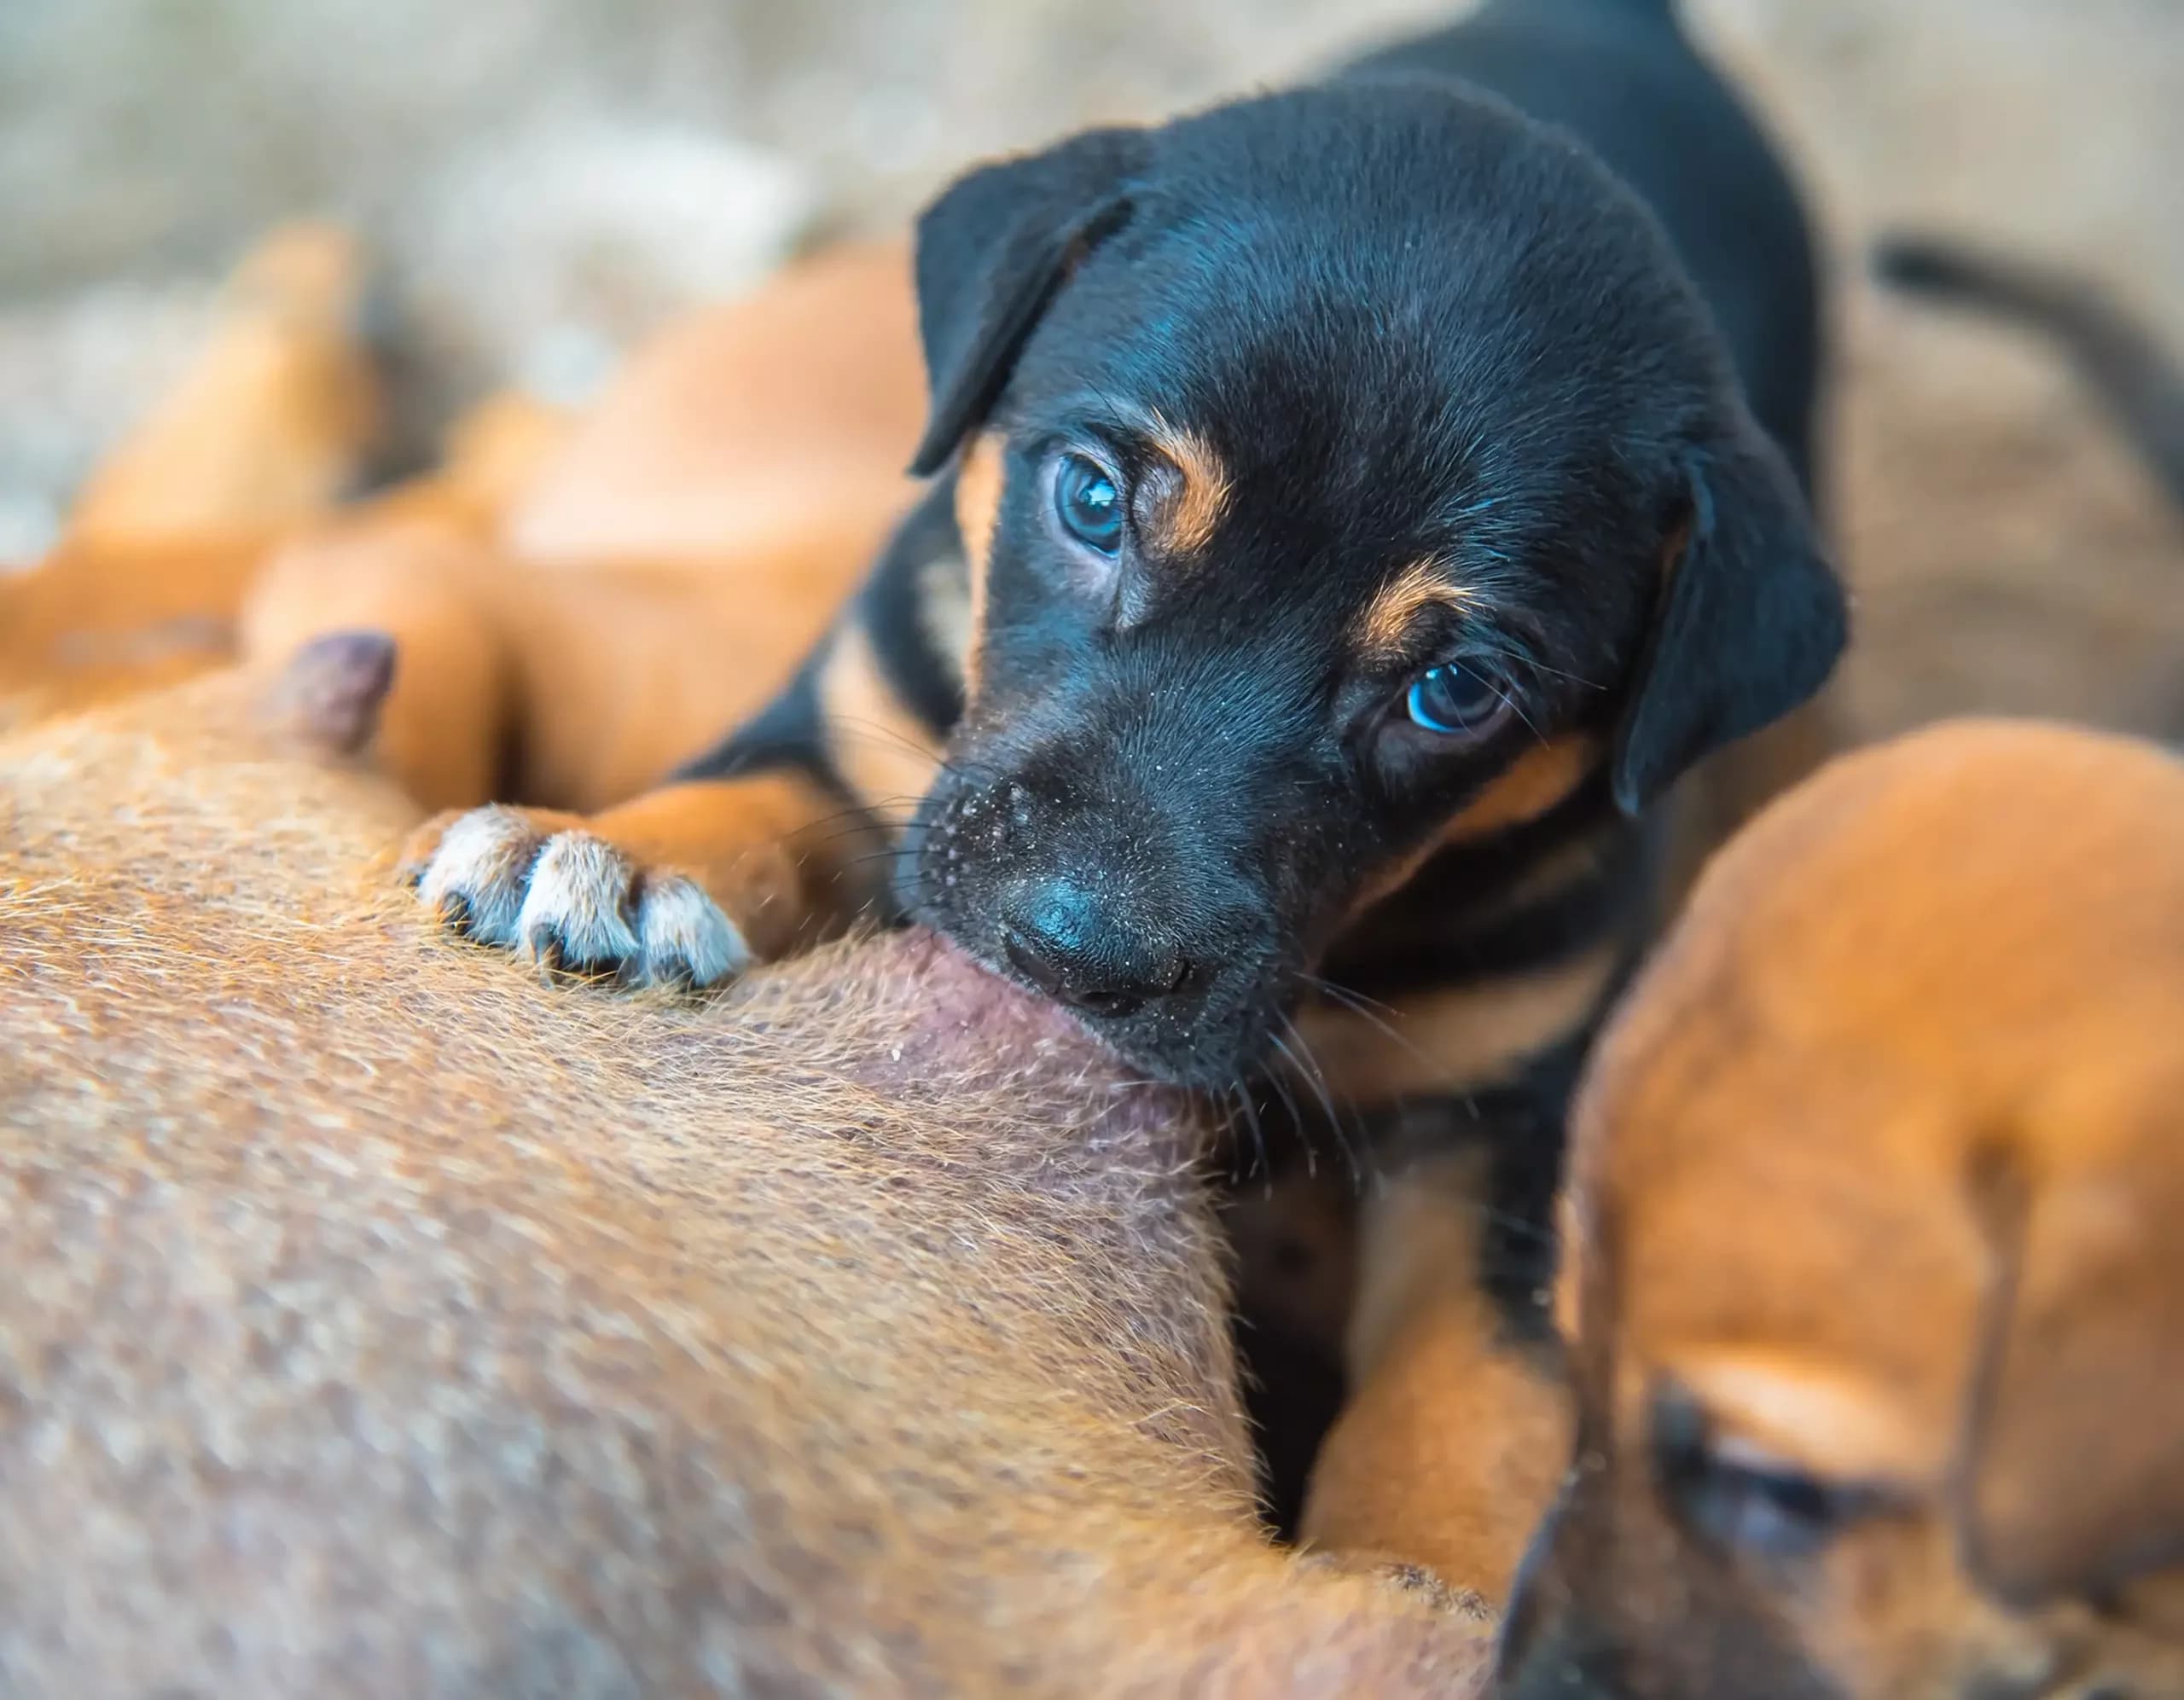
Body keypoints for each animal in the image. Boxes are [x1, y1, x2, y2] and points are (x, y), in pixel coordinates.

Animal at [412, 0, 1843, 1143]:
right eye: (1093, 502)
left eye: (1457, 693)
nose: (1066, 956)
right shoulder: (857, 725)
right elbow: (747, 795)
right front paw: (603, 856)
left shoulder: (1490, 1096)